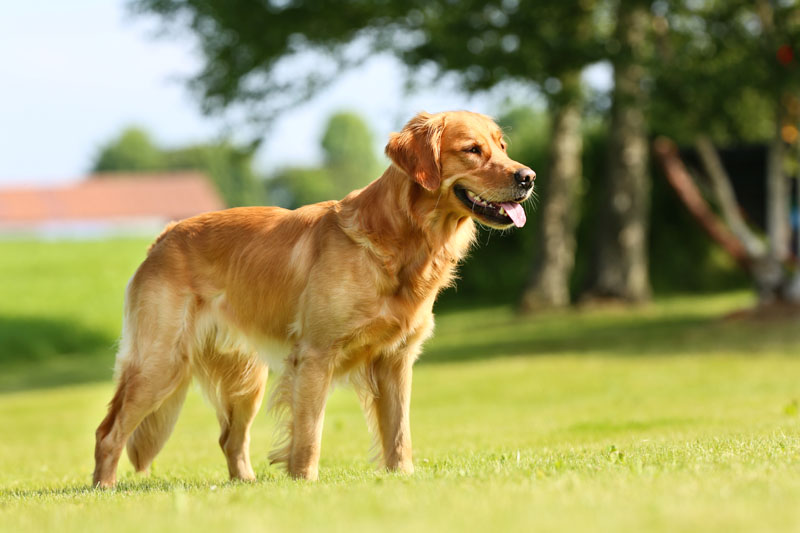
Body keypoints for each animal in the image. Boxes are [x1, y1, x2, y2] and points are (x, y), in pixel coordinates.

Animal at [92, 111, 532, 486]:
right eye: (472, 149)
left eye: (502, 146)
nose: (528, 177)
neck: (402, 238)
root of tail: (162, 237)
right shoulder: (316, 356)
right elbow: (309, 433)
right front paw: (304, 483)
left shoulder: (396, 359)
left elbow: (399, 433)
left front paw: (402, 477)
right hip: (160, 362)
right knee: (108, 432)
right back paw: (105, 488)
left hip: (246, 379)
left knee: (230, 439)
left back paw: (244, 484)